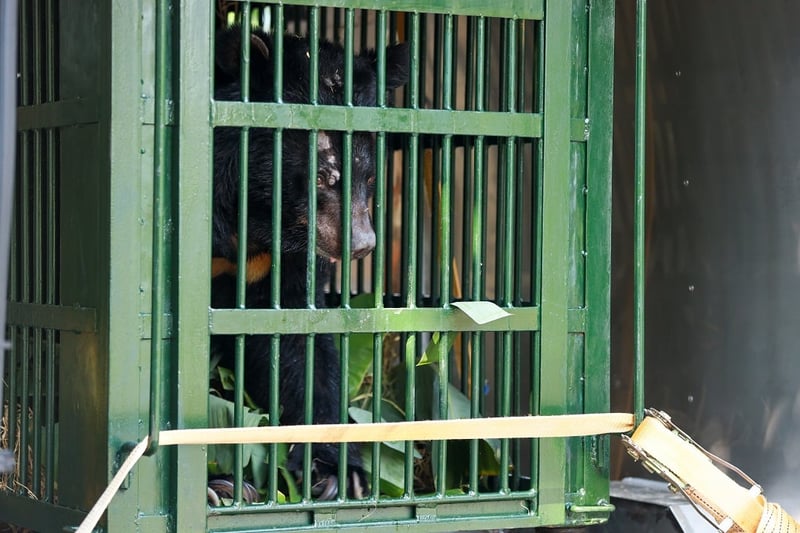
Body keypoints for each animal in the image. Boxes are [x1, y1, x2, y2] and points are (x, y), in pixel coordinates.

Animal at [209, 29, 410, 498]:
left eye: (369, 177)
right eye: (322, 176)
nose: (362, 245)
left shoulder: (280, 261)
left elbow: (296, 347)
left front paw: (336, 474)